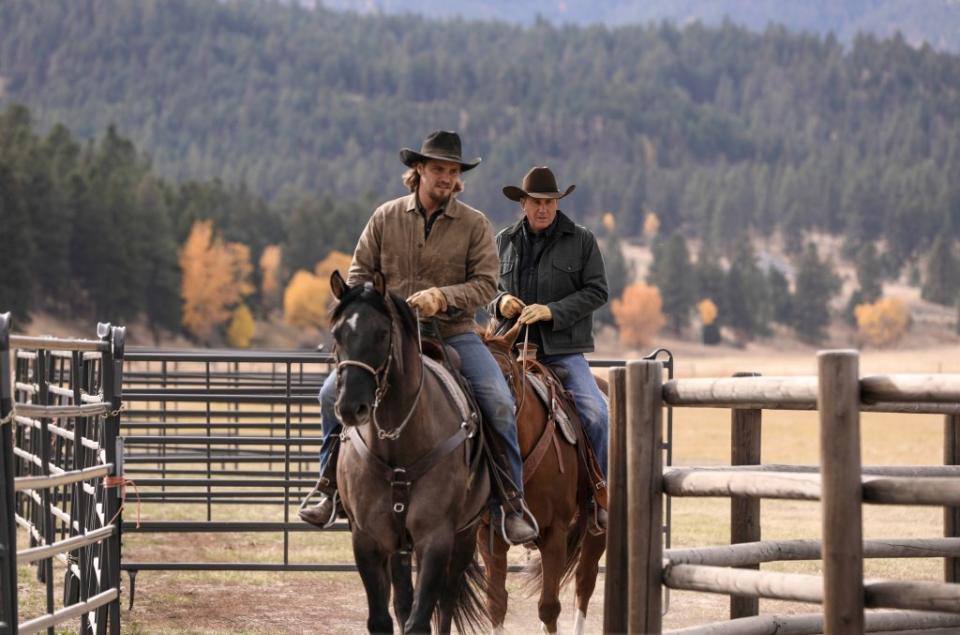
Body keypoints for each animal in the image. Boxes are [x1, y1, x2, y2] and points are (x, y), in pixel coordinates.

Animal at [476, 326, 604, 632]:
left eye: (506, 375)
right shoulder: (489, 533)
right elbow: (496, 603)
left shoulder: (555, 531)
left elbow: (549, 607)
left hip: (598, 532)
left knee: (584, 583)